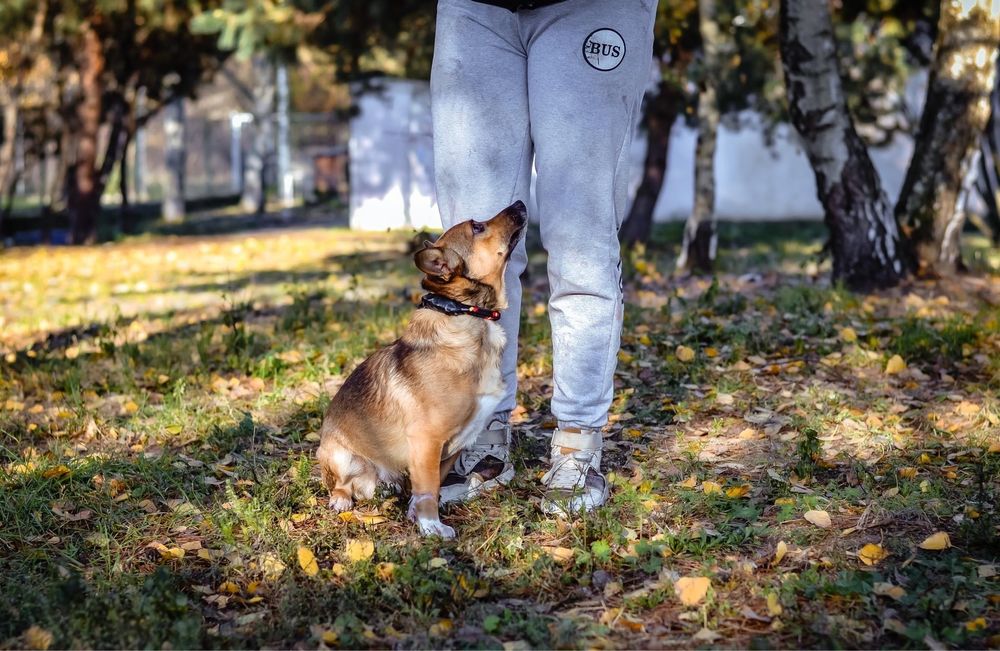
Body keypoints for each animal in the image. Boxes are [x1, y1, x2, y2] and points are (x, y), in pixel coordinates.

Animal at [318, 201, 524, 536]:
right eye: (477, 226)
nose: (519, 203)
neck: (467, 315)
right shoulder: (426, 441)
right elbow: (427, 488)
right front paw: (431, 527)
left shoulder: (451, 449)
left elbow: (431, 486)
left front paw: (420, 514)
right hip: (341, 455)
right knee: (340, 485)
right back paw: (341, 499)